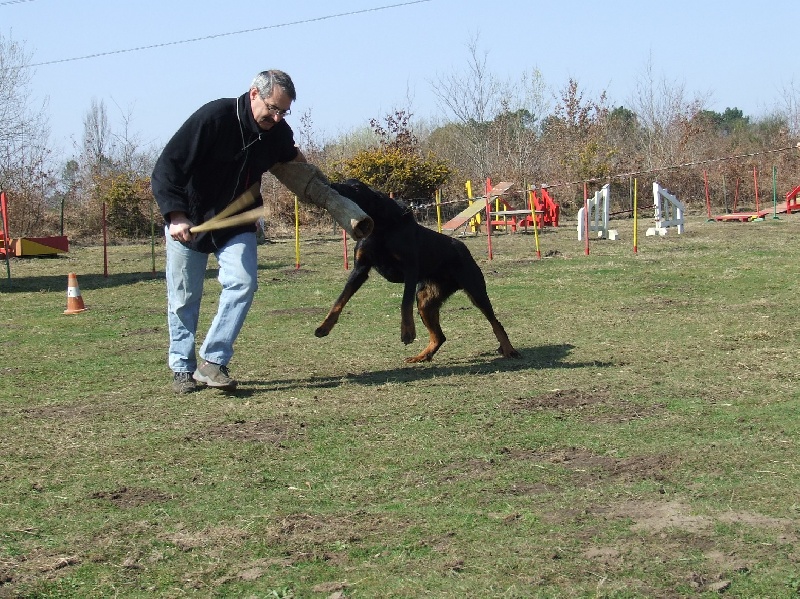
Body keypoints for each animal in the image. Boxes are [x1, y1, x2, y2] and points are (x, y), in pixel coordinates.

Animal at [316, 178, 520, 364]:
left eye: (356, 188)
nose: (332, 187)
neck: (380, 228)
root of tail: (463, 248)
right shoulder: (360, 269)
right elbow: (340, 300)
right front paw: (324, 327)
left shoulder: (410, 269)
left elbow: (404, 303)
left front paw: (407, 332)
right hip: (425, 299)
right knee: (440, 336)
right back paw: (422, 356)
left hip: (475, 291)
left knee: (495, 322)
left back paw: (509, 349)